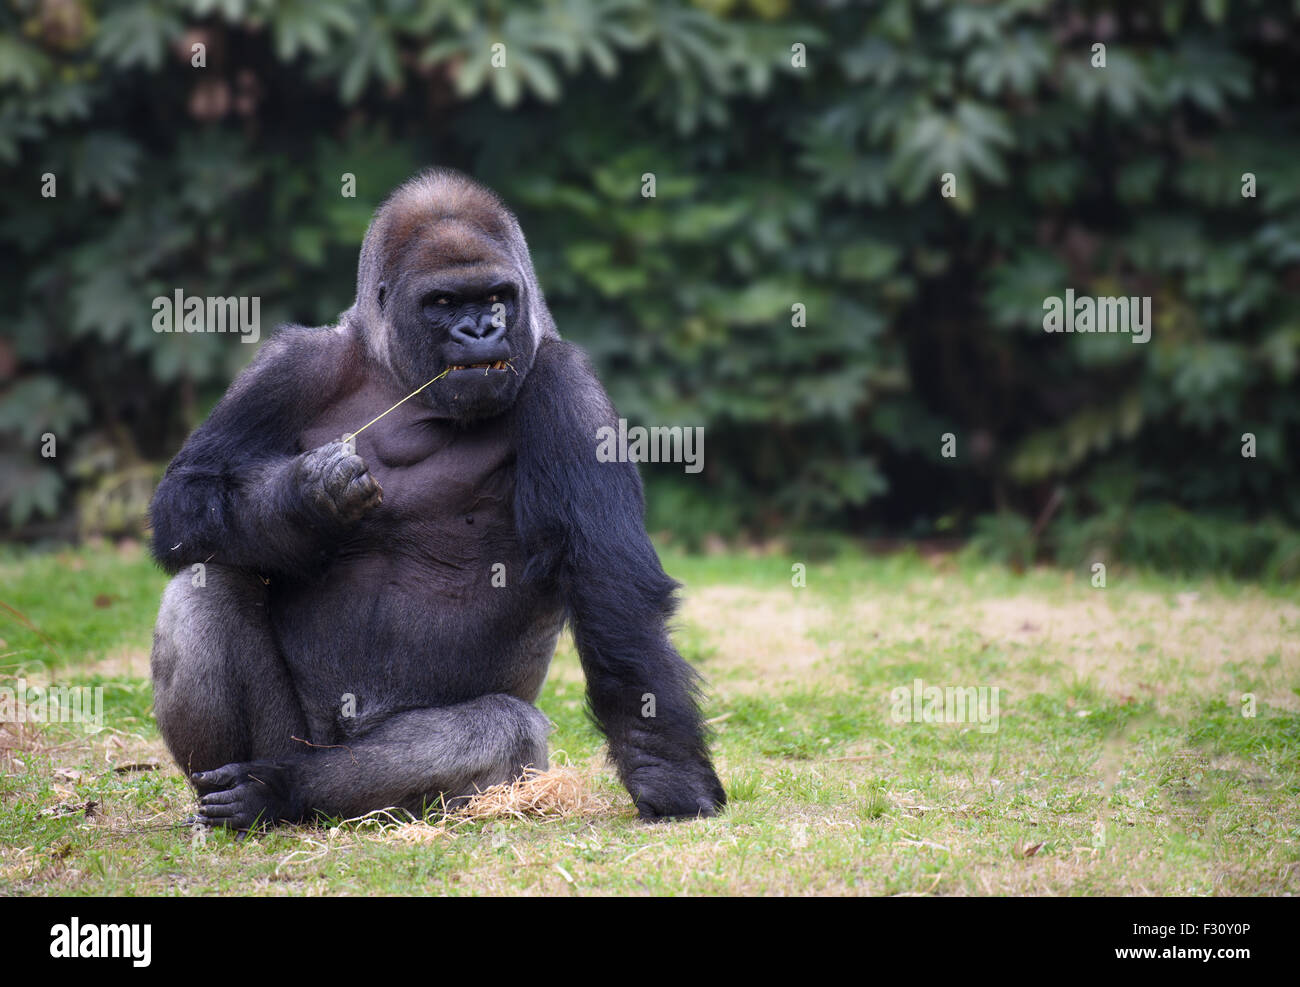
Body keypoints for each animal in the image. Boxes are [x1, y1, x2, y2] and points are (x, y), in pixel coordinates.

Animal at [149, 170, 733, 827]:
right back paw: (234, 796)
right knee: (208, 576)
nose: (481, 330)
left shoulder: (568, 385)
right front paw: (308, 495)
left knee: (499, 731)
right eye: (444, 302)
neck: (398, 373)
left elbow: (611, 589)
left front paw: (667, 773)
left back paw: (281, 790)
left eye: (498, 296)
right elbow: (187, 492)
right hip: (291, 735)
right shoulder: (290, 363)